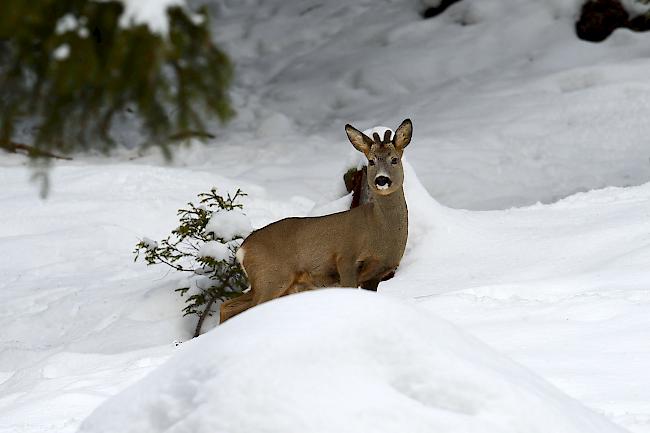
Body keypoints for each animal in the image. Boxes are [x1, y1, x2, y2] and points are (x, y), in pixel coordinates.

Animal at [218, 118, 410, 320]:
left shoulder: (376, 275)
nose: (381, 180)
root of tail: (242, 250)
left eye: (394, 159)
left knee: (227, 305)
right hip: (271, 277)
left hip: (274, 284)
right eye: (371, 161)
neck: (379, 233)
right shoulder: (346, 259)